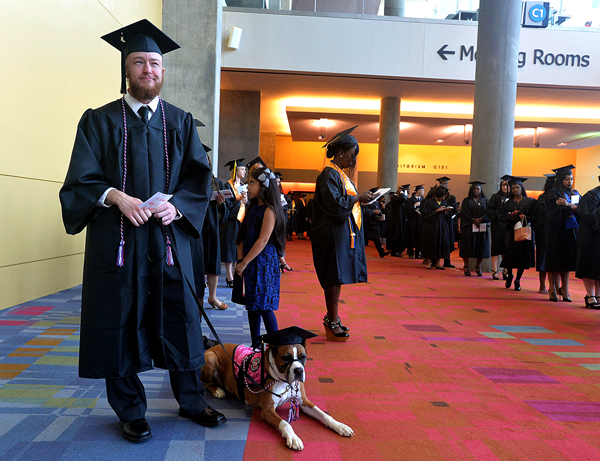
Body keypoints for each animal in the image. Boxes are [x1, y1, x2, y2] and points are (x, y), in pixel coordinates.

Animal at [199, 328, 354, 450]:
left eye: (303, 357)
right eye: (286, 357)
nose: (299, 370)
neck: (285, 381)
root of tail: (213, 347)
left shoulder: (304, 402)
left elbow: (323, 414)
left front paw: (339, 425)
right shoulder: (268, 410)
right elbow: (285, 423)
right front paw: (293, 438)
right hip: (211, 359)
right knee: (206, 383)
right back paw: (218, 390)